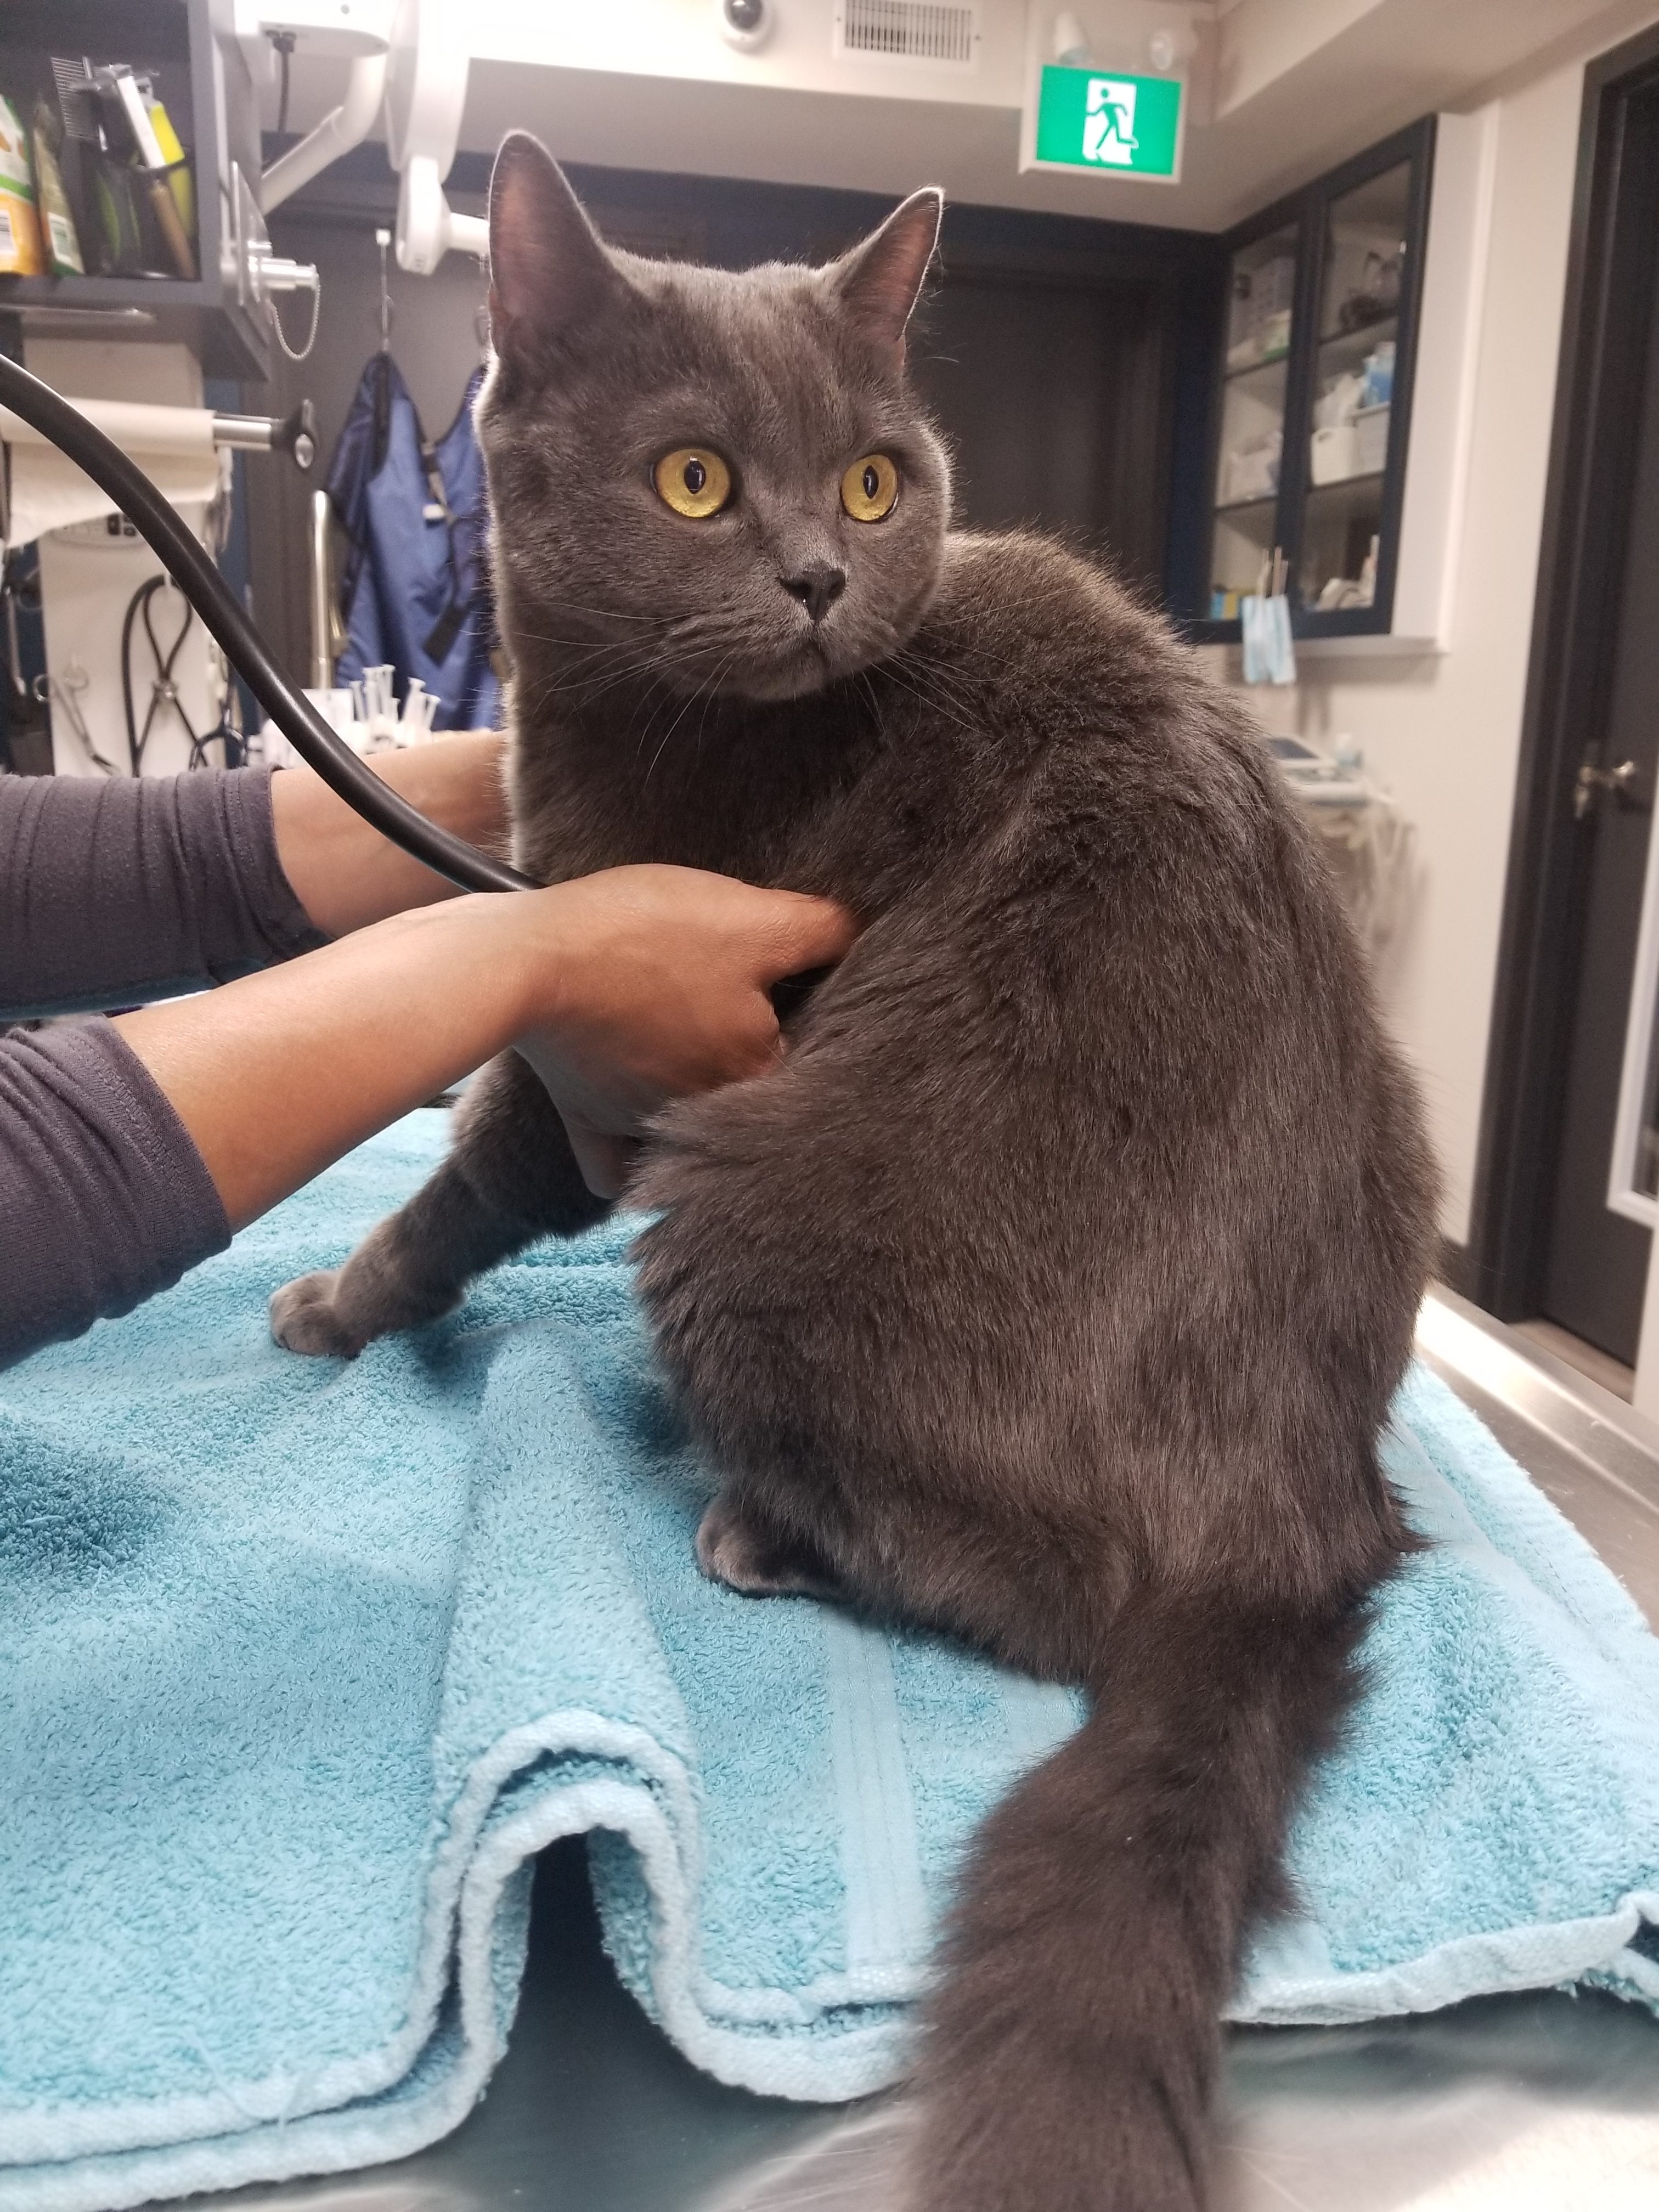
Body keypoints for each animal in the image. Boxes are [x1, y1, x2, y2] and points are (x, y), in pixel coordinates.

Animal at [266, 138, 1433, 2212]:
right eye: (695, 481)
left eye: (877, 483)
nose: (821, 575)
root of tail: (1304, 1528)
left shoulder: (606, 1056)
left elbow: (465, 1189)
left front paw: (335, 1304)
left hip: (744, 1214)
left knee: (1059, 1601)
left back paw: (761, 1528)